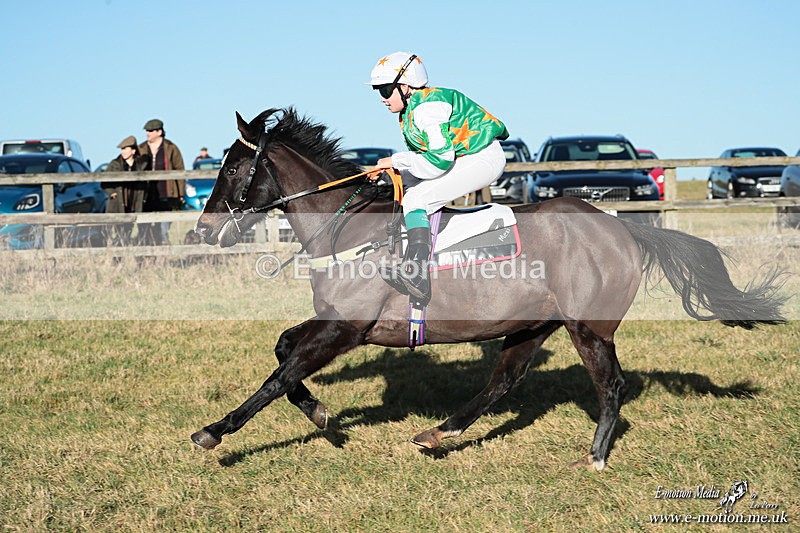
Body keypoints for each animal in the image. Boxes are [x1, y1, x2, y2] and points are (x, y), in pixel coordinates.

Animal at [192, 108, 786, 471]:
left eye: (234, 168)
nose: (203, 229)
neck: (348, 228)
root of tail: (623, 228)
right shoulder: (334, 324)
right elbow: (283, 352)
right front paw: (320, 414)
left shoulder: (346, 327)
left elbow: (278, 374)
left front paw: (216, 430)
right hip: (531, 324)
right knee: (505, 380)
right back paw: (440, 431)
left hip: (587, 326)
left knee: (611, 386)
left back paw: (594, 456)